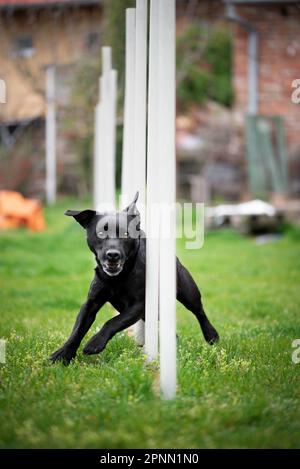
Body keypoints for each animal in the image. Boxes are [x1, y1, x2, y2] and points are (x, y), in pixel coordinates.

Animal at [51, 192, 218, 364]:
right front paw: (62, 354)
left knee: (199, 311)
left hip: (188, 292)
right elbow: (78, 329)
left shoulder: (138, 304)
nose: (113, 255)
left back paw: (211, 335)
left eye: (125, 234)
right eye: (101, 233)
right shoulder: (92, 302)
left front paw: (95, 343)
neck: (119, 277)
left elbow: (113, 322)